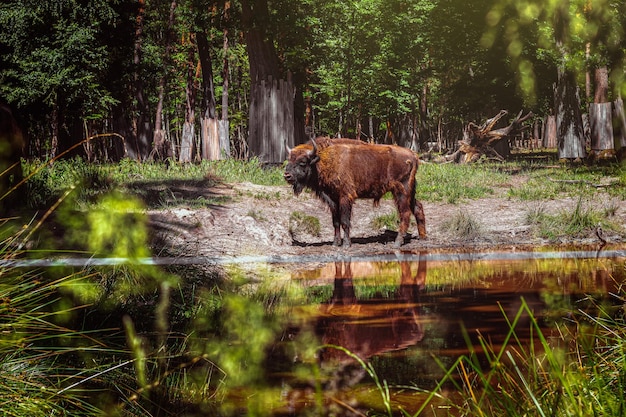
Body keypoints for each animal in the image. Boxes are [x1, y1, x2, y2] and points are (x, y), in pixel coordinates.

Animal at [282, 136, 424, 247]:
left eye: (302, 162)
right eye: (289, 159)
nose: (287, 175)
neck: (323, 159)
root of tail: (413, 155)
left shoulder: (345, 197)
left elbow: (345, 221)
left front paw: (346, 244)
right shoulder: (332, 200)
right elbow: (336, 222)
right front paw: (335, 243)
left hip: (401, 191)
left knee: (405, 213)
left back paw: (397, 242)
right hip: (410, 192)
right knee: (417, 207)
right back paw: (423, 237)